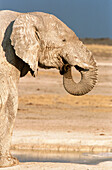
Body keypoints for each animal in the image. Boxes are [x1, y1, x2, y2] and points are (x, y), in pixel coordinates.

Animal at [0, 9, 97, 167]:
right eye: (63, 40)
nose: (66, 66)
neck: (22, 16)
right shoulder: (6, 55)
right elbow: (10, 100)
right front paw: (10, 163)